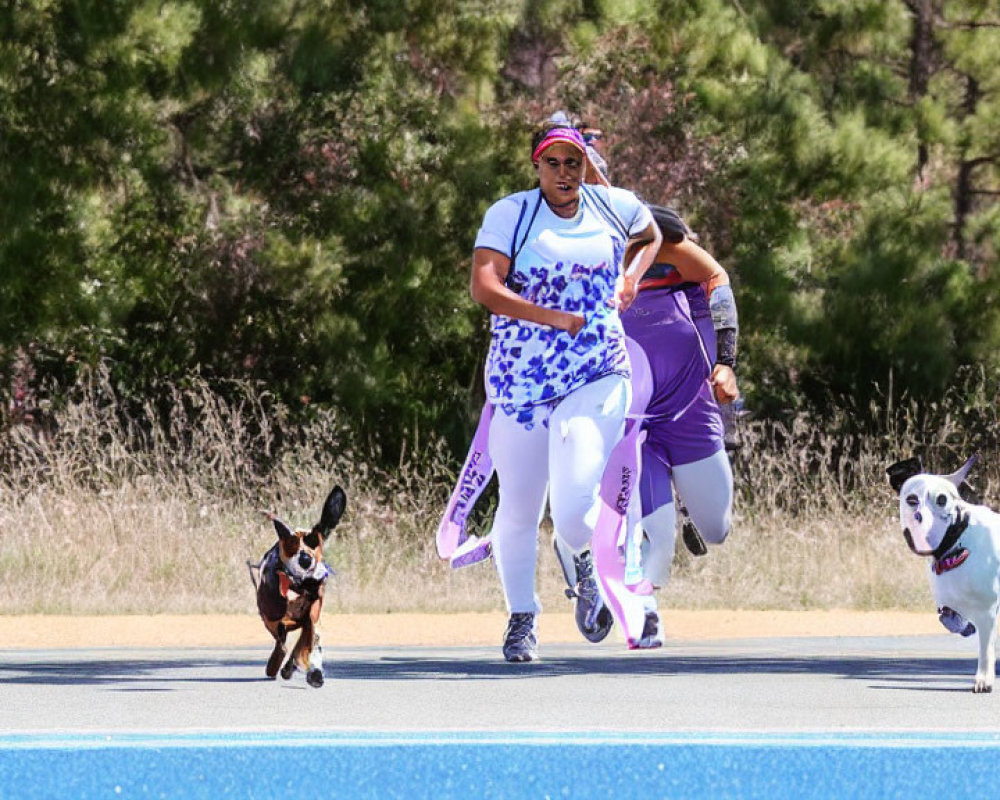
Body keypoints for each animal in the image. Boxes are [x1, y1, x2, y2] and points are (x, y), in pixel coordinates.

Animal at [252, 488, 346, 688]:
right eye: (291, 545)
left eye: (317, 543)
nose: (306, 559)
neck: (298, 588)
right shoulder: (272, 619)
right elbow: (283, 645)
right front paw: (277, 665)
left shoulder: (311, 619)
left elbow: (307, 644)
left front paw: (312, 672)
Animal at [892, 456, 1000, 692]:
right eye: (911, 500)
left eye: (941, 499)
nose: (919, 516)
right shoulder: (949, 603)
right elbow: (949, 615)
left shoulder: (987, 612)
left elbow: (986, 650)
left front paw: (983, 679)